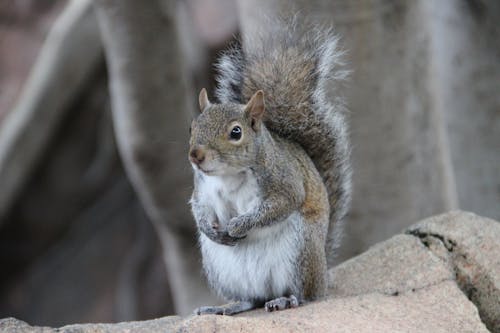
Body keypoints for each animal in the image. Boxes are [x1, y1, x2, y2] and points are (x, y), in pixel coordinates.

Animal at [188, 18, 352, 314]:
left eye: (236, 132)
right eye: (192, 127)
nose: (196, 155)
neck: (229, 175)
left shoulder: (283, 180)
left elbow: (281, 204)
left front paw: (239, 225)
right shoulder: (202, 189)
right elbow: (199, 208)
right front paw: (210, 229)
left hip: (303, 250)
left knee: (306, 295)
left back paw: (288, 299)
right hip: (221, 269)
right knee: (252, 299)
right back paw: (228, 306)